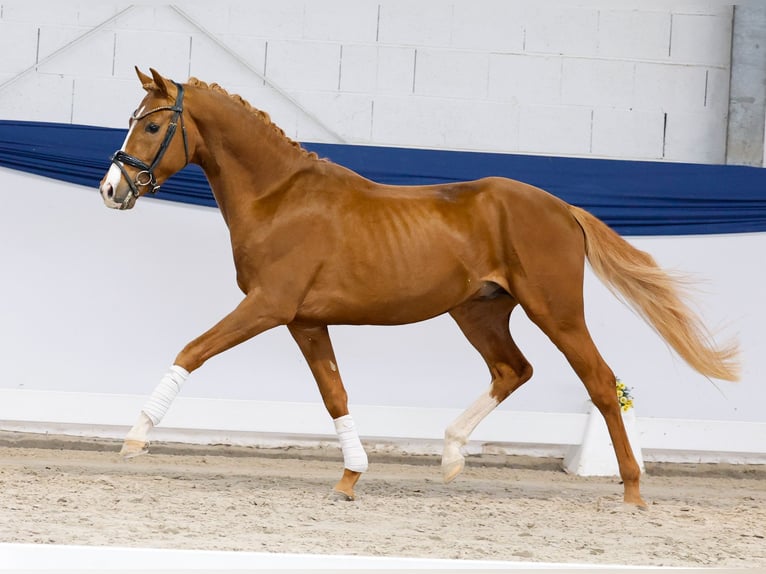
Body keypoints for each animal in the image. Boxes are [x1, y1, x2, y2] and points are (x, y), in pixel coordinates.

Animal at [99, 68, 739, 507]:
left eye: (152, 123)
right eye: (132, 117)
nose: (111, 189)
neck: (278, 196)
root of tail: (563, 209)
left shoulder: (268, 306)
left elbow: (192, 350)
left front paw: (134, 439)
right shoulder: (305, 320)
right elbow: (335, 395)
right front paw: (350, 476)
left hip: (555, 311)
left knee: (601, 383)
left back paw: (632, 491)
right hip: (479, 313)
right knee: (513, 370)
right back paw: (451, 455)